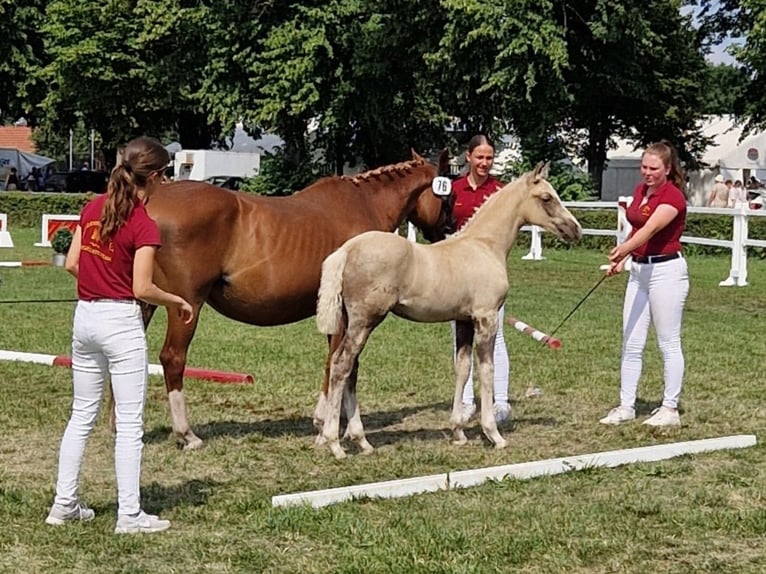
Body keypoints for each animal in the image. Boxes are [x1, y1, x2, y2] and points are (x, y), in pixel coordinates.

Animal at [140, 150, 452, 450]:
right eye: (450, 196)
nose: (449, 231)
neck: (365, 205)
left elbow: (342, 365)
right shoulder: (344, 315)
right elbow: (337, 364)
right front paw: (327, 427)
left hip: (147, 304)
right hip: (186, 306)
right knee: (173, 358)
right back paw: (187, 434)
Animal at [316, 162, 584, 460]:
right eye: (547, 198)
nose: (576, 230)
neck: (484, 245)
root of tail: (347, 249)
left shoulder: (464, 320)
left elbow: (463, 368)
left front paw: (458, 432)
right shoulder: (486, 318)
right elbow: (486, 369)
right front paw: (494, 435)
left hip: (352, 322)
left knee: (350, 369)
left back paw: (362, 441)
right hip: (365, 321)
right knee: (342, 365)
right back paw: (335, 443)